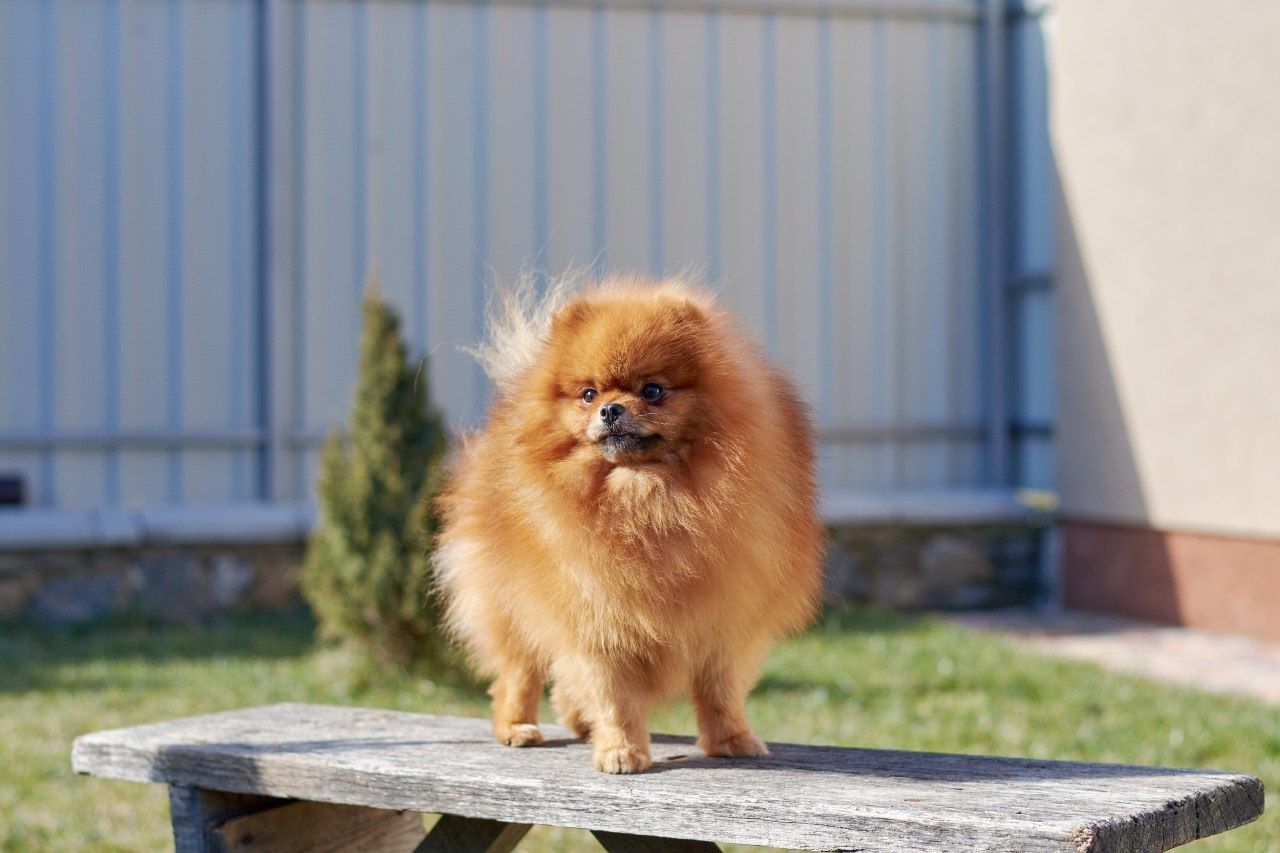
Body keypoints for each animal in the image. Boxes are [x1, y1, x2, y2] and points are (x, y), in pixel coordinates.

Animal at [435, 272, 824, 768]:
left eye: (652, 390)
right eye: (588, 394)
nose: (610, 409)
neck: (647, 498)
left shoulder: (724, 618)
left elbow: (720, 690)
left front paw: (731, 739)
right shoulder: (598, 618)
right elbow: (613, 695)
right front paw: (621, 749)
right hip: (508, 600)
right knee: (518, 671)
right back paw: (517, 727)